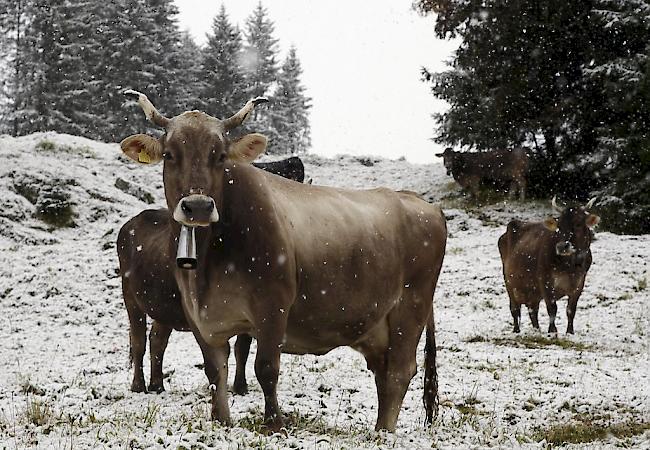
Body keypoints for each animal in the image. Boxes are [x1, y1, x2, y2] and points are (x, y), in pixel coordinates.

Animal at [117, 90, 446, 432]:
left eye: (220, 156)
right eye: (170, 154)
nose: (198, 206)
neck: (209, 262)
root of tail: (420, 202)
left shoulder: (273, 306)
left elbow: (265, 367)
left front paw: (274, 422)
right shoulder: (199, 315)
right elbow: (214, 371)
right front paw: (221, 420)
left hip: (410, 307)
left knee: (399, 371)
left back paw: (383, 432)